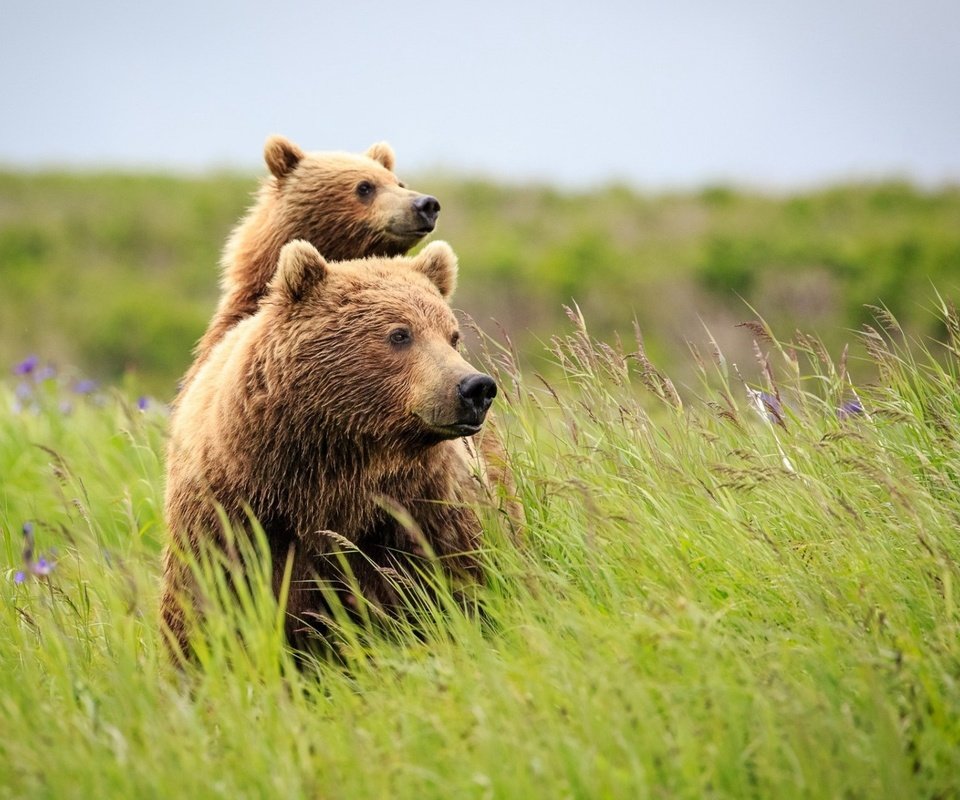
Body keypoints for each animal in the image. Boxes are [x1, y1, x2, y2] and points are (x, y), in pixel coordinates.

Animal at [160, 239, 496, 656]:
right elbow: (208, 604)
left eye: (452, 335)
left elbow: (455, 581)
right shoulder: (232, 516)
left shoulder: (419, 508)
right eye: (400, 334)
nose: (475, 388)